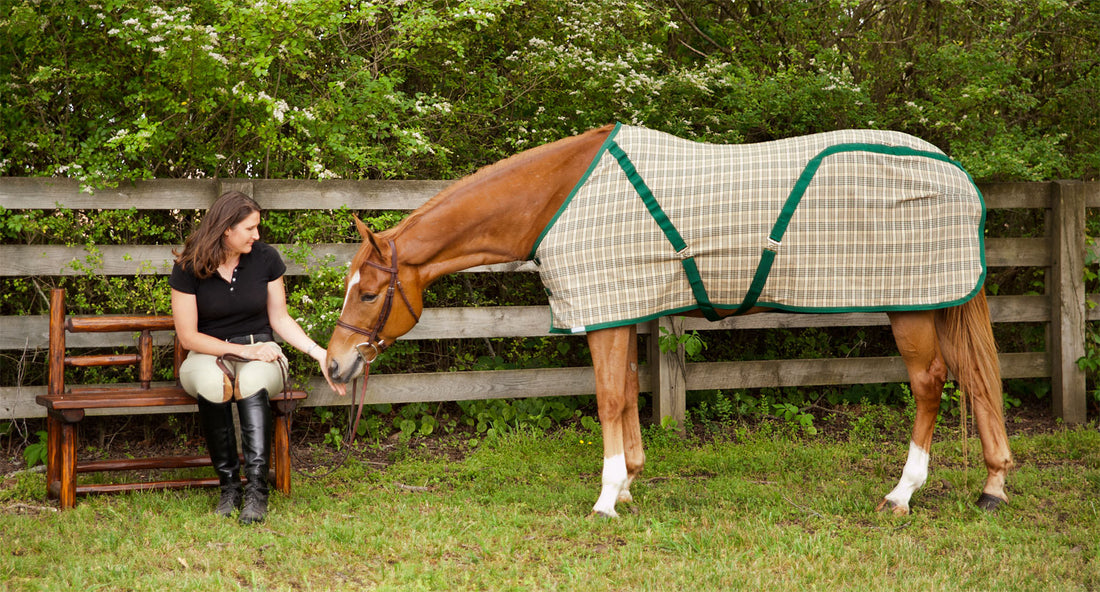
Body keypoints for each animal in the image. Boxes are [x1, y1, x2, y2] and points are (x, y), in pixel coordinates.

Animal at [323, 125, 1012, 514]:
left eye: (367, 293)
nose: (334, 365)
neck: (557, 200)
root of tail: (958, 175)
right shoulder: (625, 309)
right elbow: (629, 393)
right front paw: (629, 482)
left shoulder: (603, 312)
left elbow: (608, 398)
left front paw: (606, 499)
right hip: (938, 301)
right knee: (977, 382)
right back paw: (993, 486)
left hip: (913, 306)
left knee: (931, 383)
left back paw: (903, 493)